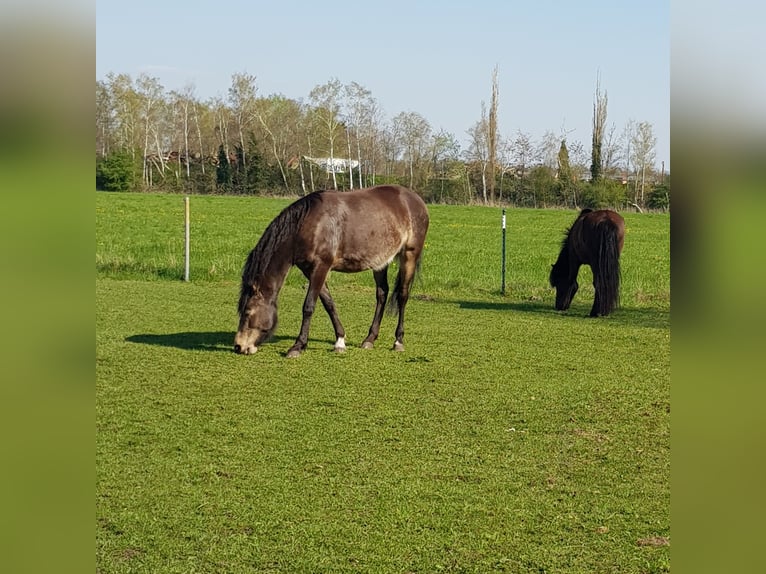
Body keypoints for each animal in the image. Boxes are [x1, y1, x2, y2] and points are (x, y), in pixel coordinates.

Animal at [234, 188, 432, 360]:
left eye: (247, 312)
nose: (238, 346)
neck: (308, 225)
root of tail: (416, 200)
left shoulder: (321, 265)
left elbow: (308, 306)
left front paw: (297, 346)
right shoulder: (310, 269)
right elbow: (329, 304)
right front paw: (340, 341)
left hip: (409, 255)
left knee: (403, 296)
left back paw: (398, 341)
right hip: (380, 261)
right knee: (382, 293)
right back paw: (369, 339)